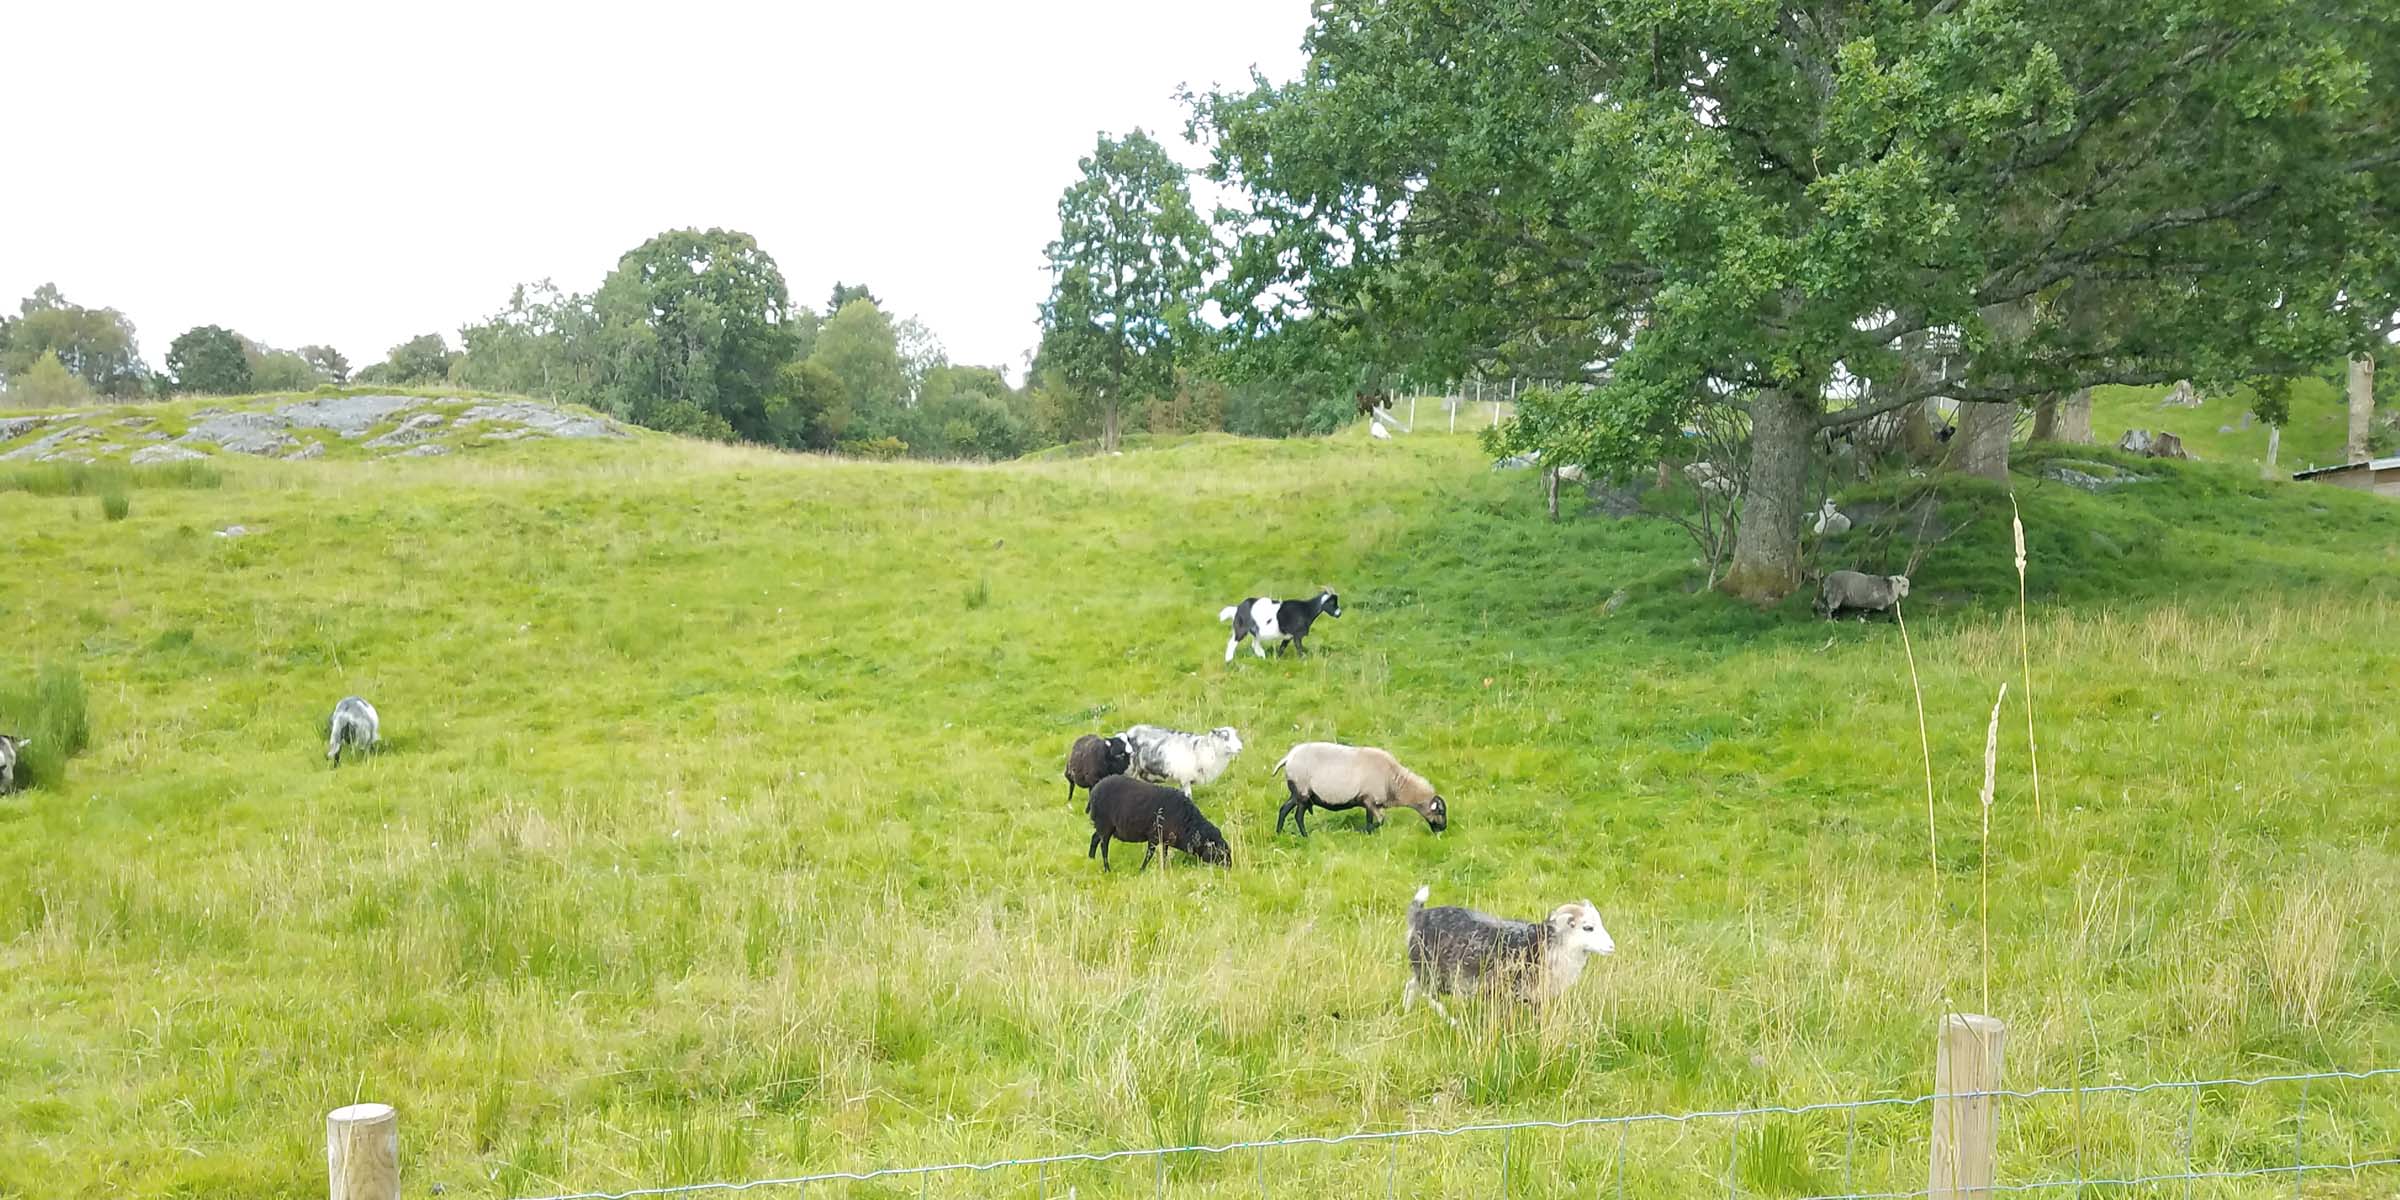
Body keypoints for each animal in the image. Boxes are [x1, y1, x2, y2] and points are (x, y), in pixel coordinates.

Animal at [1089, 772, 1238, 868]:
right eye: (1219, 852)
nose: (1230, 867)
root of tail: (1095, 790)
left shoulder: (1166, 839)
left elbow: (1164, 854)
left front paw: (1164, 868)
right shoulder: (1154, 836)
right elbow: (1150, 854)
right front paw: (1142, 869)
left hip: (1103, 826)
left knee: (1095, 838)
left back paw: (1091, 859)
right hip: (1105, 825)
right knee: (1103, 846)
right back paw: (1107, 868)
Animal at [1113, 720, 1248, 796]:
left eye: (1236, 735)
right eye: (1225, 737)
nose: (1240, 748)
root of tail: (1129, 732)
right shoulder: (1185, 778)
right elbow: (1188, 796)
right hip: (1130, 770)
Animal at [1209, 592, 1344, 667]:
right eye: (1332, 603)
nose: (1339, 614)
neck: (1306, 609)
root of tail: (1238, 608)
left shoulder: (1289, 636)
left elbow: (1282, 648)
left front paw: (1277, 660)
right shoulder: (1297, 634)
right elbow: (1299, 648)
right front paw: (1304, 661)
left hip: (1256, 631)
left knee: (1255, 644)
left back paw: (1262, 657)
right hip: (1241, 628)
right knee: (1233, 642)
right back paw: (1229, 660)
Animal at [1267, 739, 1449, 835]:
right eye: (1440, 811)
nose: (1443, 828)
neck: (1395, 782)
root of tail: (1288, 758)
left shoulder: (1369, 802)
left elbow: (1371, 819)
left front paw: (1367, 832)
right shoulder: (1370, 799)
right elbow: (1380, 821)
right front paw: (1362, 831)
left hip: (1297, 792)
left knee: (1284, 809)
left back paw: (1279, 832)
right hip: (1303, 791)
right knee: (1298, 815)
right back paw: (1305, 836)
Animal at [1401, 883, 1622, 1022]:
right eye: (1588, 928)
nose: (1612, 946)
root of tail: (1420, 915)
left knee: (1411, 986)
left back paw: (1406, 1012)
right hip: (1432, 972)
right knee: (1428, 995)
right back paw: (1451, 1021)